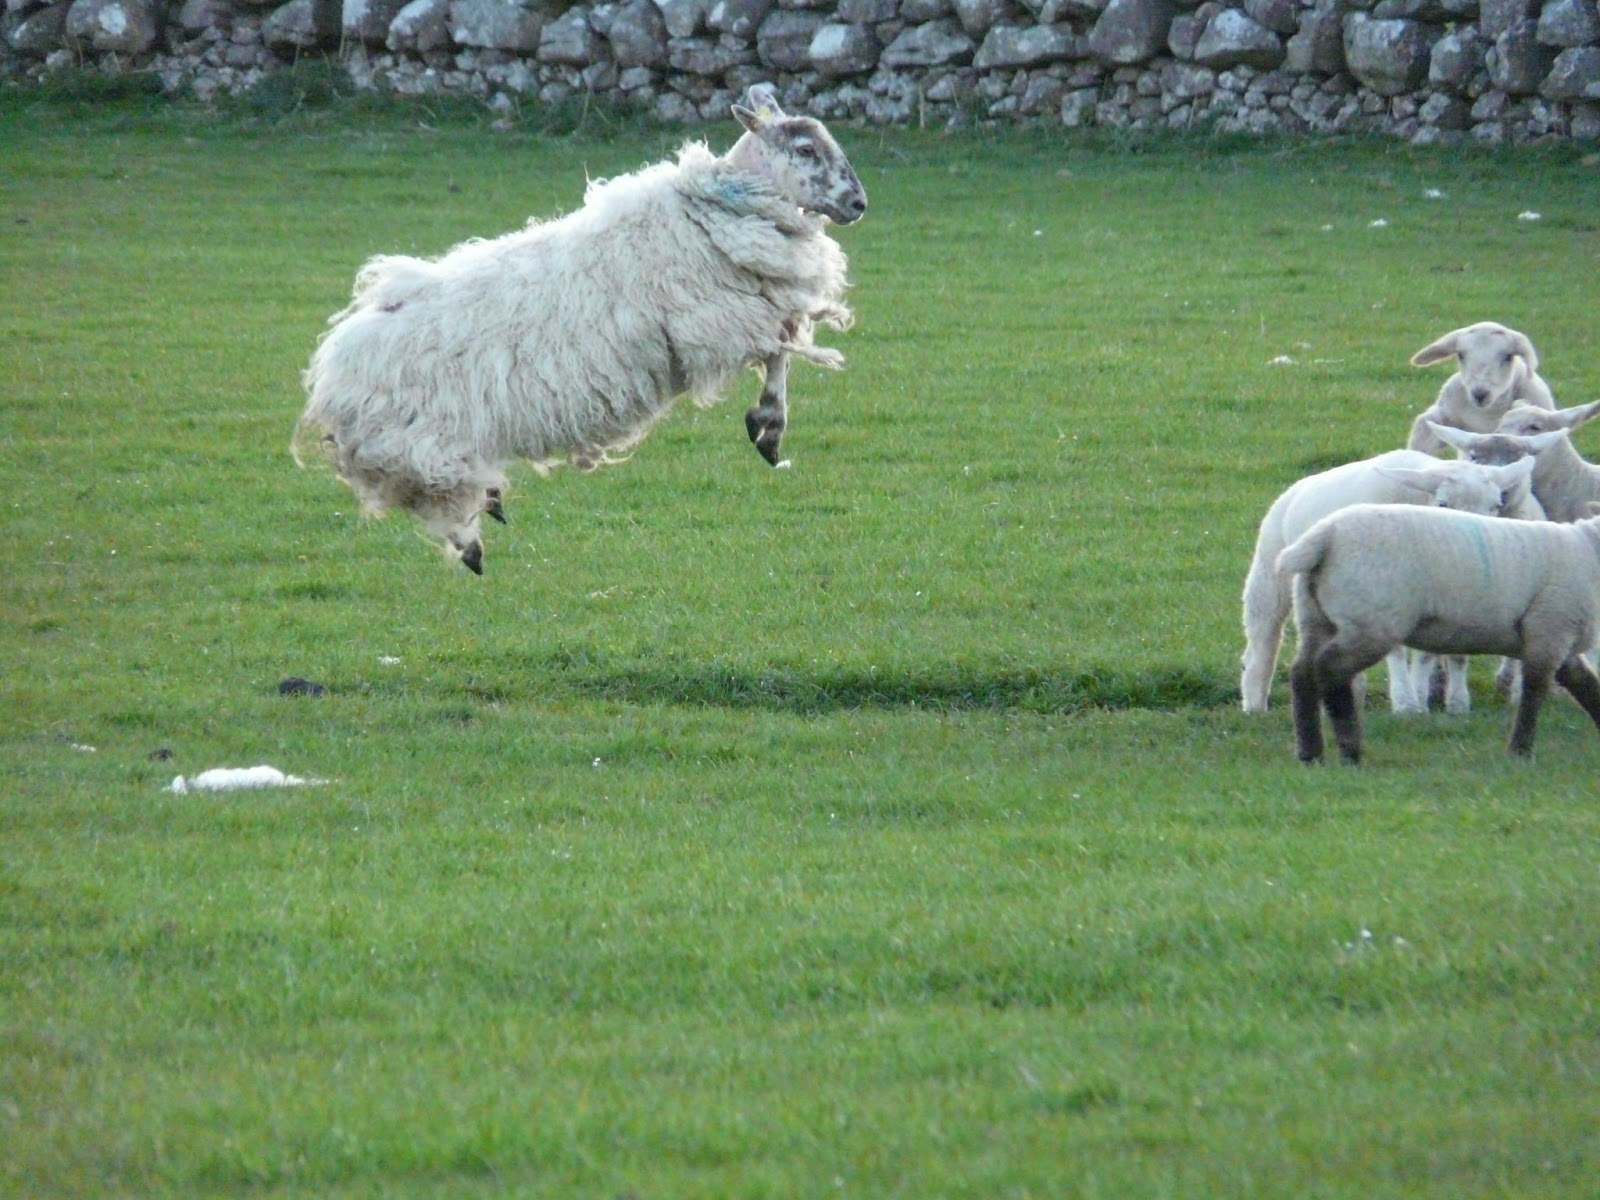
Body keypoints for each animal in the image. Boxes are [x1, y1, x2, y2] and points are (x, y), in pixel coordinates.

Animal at [294, 85, 868, 574]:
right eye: (806, 149)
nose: (859, 204)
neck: (715, 205)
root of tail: (336, 358)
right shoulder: (717, 322)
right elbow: (779, 351)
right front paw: (768, 427)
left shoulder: (745, 314)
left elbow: (784, 349)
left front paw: (767, 428)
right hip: (423, 442)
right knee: (438, 498)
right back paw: (473, 540)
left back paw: (487, 516)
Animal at [1239, 450, 1536, 715]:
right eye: (1443, 503)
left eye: (1496, 505)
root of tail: (1296, 489)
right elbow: (1398, 652)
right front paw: (1406, 703)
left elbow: (1436, 653)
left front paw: (1450, 703)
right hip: (1271, 571)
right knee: (1262, 640)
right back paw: (1255, 706)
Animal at [1279, 504, 1600, 762]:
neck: (1589, 547)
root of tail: (1325, 535)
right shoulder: (1550, 629)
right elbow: (1534, 692)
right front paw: (1520, 752)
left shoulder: (1561, 640)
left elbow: (1584, 683)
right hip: (1372, 621)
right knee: (1330, 669)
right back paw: (1350, 752)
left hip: (1315, 616)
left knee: (1303, 673)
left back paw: (1310, 753)